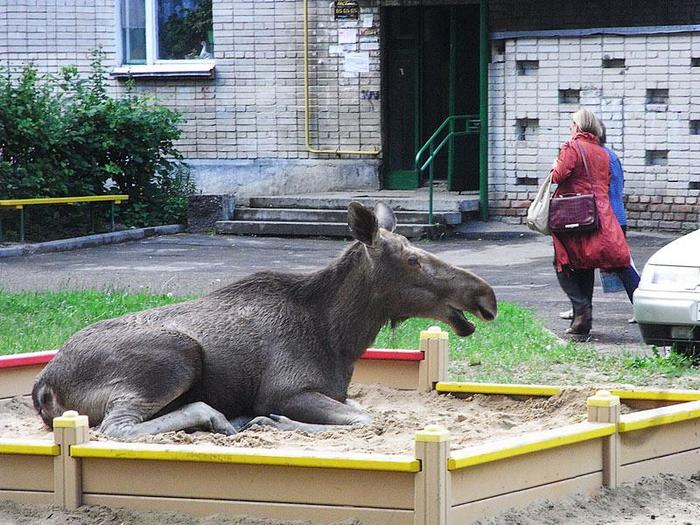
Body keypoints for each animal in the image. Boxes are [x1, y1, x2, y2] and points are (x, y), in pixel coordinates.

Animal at [34, 203, 498, 436]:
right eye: (412, 259)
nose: (486, 296)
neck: (341, 338)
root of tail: (44, 385)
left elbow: (364, 411)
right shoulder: (287, 390)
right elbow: (365, 420)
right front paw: (274, 421)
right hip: (175, 357)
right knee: (118, 428)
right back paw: (217, 418)